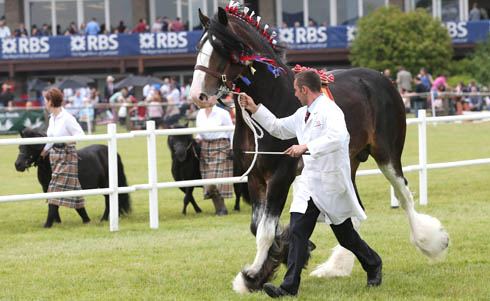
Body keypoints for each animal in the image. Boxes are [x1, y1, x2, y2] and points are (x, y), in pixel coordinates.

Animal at [189, 4, 450, 292]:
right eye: (199, 47)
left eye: (222, 48)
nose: (198, 96)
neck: (275, 99)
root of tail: (382, 80)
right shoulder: (255, 177)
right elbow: (258, 227)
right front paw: (275, 261)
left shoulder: (280, 175)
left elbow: (265, 231)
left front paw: (253, 274)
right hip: (348, 165)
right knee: (352, 214)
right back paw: (337, 267)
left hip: (388, 156)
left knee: (404, 197)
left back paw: (429, 243)